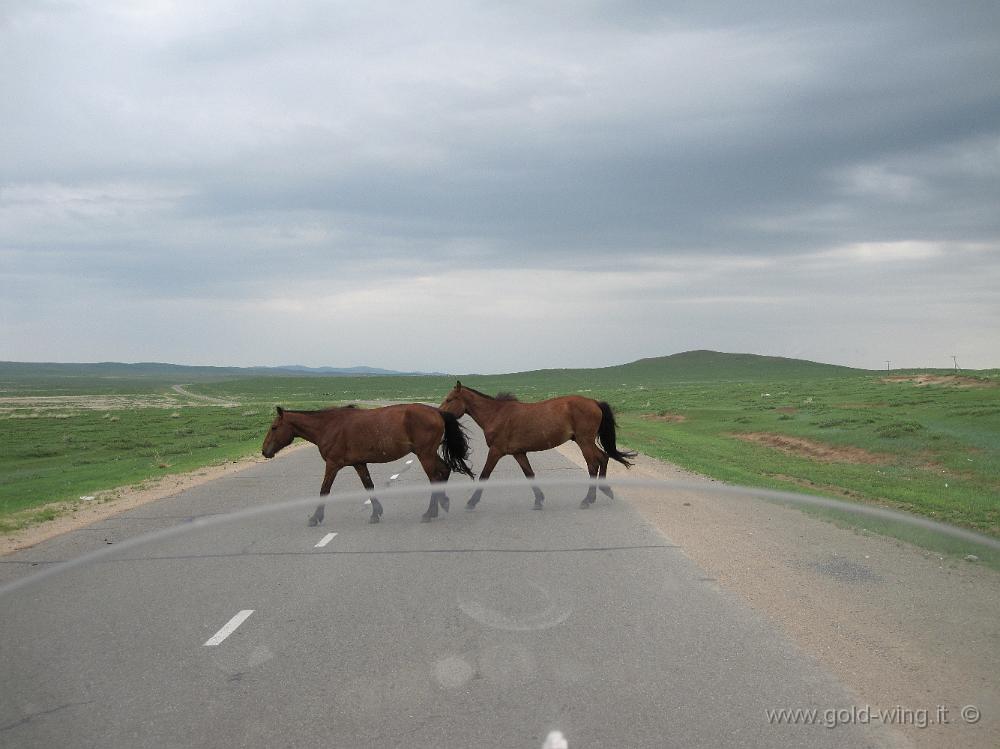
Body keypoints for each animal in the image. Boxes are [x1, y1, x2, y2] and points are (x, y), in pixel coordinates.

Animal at [260, 406, 474, 524]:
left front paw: (315, 517)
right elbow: (368, 486)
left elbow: (324, 490)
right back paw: (441, 504)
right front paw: (375, 513)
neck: (328, 426)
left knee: (435, 478)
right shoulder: (359, 464)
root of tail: (437, 411)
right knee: (444, 471)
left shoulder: (332, 465)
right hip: (427, 454)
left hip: (425, 455)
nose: (264, 451)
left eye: (274, 427)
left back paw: (430, 512)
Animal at [438, 382, 632, 512]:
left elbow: (485, 475)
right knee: (603, 458)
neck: (496, 415)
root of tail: (594, 402)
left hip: (585, 441)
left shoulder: (495, 451)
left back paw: (588, 499)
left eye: (449, 399)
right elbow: (529, 474)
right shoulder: (518, 453)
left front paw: (471, 502)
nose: (439, 415)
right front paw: (539, 500)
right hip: (584, 441)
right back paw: (604, 491)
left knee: (593, 464)